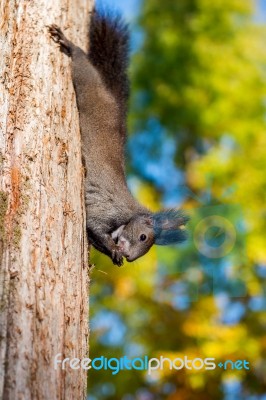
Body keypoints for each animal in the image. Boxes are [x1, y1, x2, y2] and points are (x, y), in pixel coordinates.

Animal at [48, 9, 189, 268]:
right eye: (143, 237)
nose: (131, 258)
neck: (127, 218)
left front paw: (114, 254)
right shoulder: (105, 210)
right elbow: (95, 226)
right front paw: (114, 250)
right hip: (88, 85)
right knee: (83, 66)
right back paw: (70, 45)